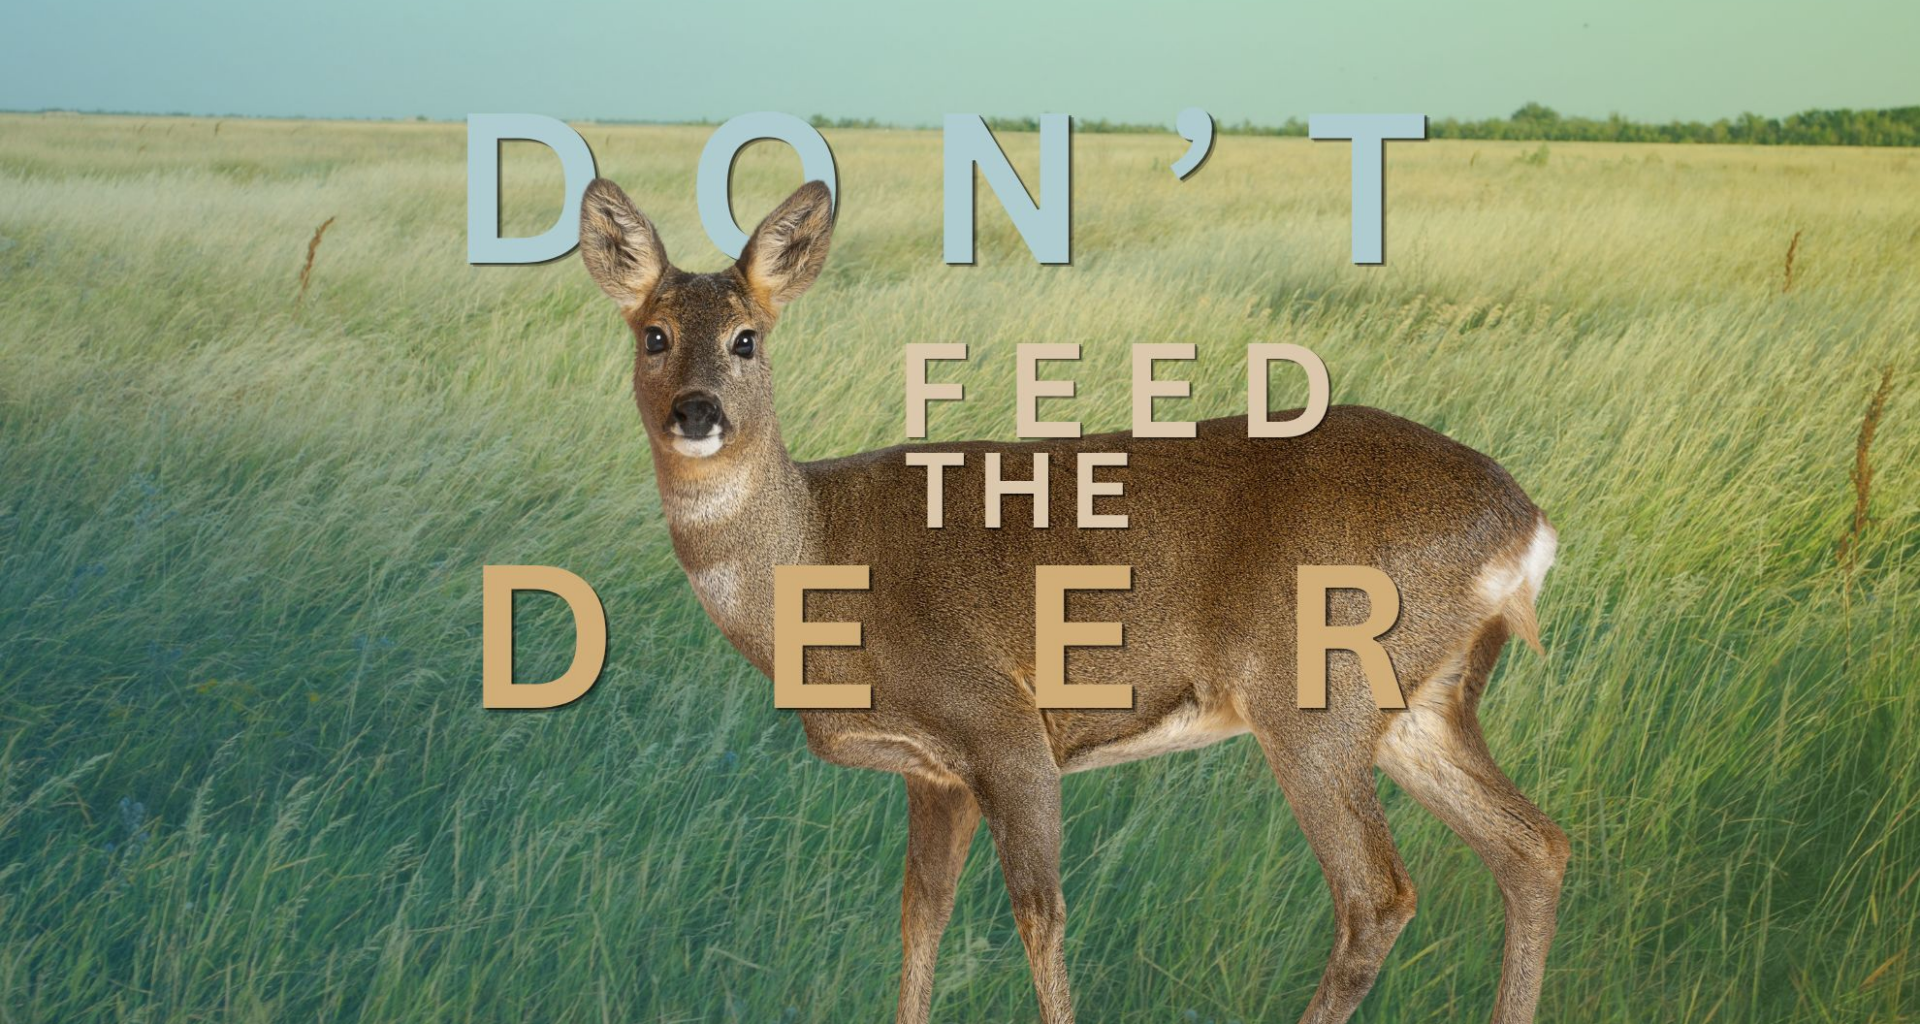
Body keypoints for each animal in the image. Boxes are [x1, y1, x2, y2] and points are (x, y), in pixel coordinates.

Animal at [577, 177, 1568, 1024]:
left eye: (748, 338)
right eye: (653, 335)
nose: (697, 412)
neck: (819, 561)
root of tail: (1526, 527)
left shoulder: (1005, 725)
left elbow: (1039, 913)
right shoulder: (935, 774)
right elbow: (920, 914)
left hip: (1314, 692)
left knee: (1378, 896)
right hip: (1422, 704)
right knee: (1534, 848)